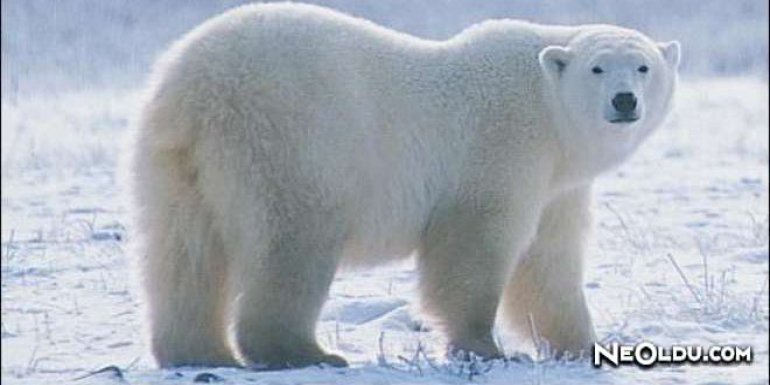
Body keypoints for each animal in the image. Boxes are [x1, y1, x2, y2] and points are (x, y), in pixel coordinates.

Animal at [132, 2, 680, 368]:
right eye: (598, 67)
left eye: (644, 66)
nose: (625, 100)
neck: (546, 108)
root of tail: (196, 89)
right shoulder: (502, 147)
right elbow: (474, 246)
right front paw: (486, 347)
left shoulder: (557, 186)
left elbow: (550, 262)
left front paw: (587, 345)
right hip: (290, 139)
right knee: (293, 241)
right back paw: (304, 352)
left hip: (174, 163)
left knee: (184, 253)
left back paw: (199, 352)